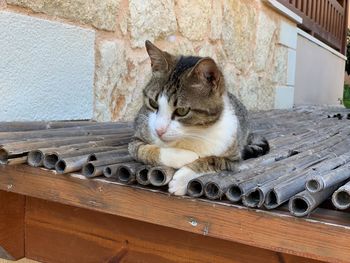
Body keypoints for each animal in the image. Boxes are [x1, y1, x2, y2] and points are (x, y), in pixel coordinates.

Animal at [128, 41, 268, 196]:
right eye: (153, 103)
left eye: (182, 111)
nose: (159, 130)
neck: (192, 134)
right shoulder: (136, 138)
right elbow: (144, 150)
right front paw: (183, 156)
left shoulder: (233, 158)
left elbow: (213, 160)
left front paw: (182, 179)